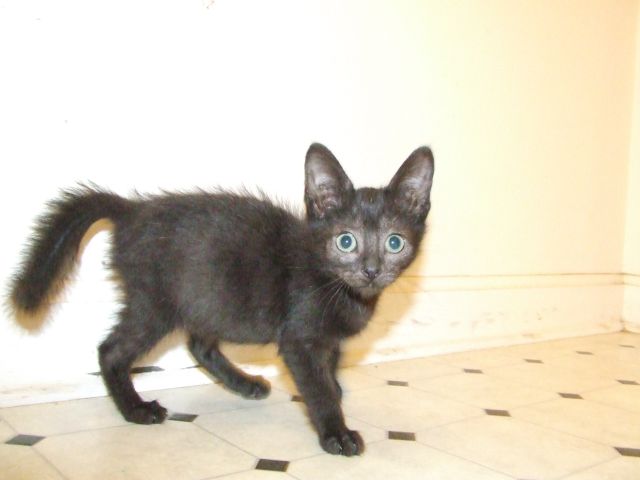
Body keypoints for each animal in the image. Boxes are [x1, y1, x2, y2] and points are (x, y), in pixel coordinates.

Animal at [9, 143, 434, 456]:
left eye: (394, 243)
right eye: (345, 241)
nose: (371, 270)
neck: (334, 283)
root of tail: (132, 209)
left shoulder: (327, 341)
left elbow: (329, 373)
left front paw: (336, 397)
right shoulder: (300, 339)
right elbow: (317, 385)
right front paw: (336, 431)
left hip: (209, 296)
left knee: (199, 344)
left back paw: (244, 384)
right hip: (156, 301)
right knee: (112, 350)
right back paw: (136, 409)